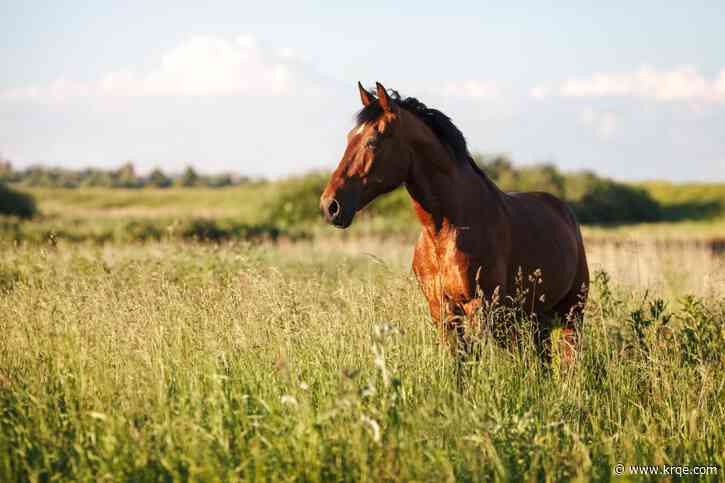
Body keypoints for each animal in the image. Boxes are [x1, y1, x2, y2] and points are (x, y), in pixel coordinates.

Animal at [320, 82, 589, 364]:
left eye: (372, 141)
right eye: (349, 137)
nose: (330, 206)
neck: (446, 231)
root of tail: (563, 211)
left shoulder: (481, 309)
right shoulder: (442, 310)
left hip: (570, 313)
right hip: (537, 318)